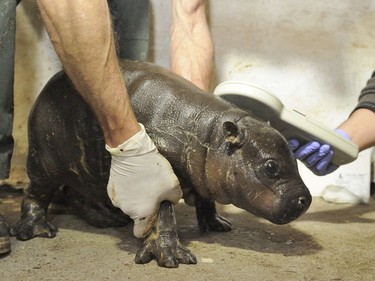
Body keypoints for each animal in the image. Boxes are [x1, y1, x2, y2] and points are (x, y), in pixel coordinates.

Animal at [11, 59, 312, 266]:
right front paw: (172, 258)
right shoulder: (162, 175)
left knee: (79, 192)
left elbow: (206, 199)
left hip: (86, 169)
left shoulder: (202, 176)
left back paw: (107, 219)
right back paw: (36, 231)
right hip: (43, 161)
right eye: (271, 167)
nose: (305, 199)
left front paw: (218, 224)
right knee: (36, 192)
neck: (208, 132)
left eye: (295, 159)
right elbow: (163, 212)